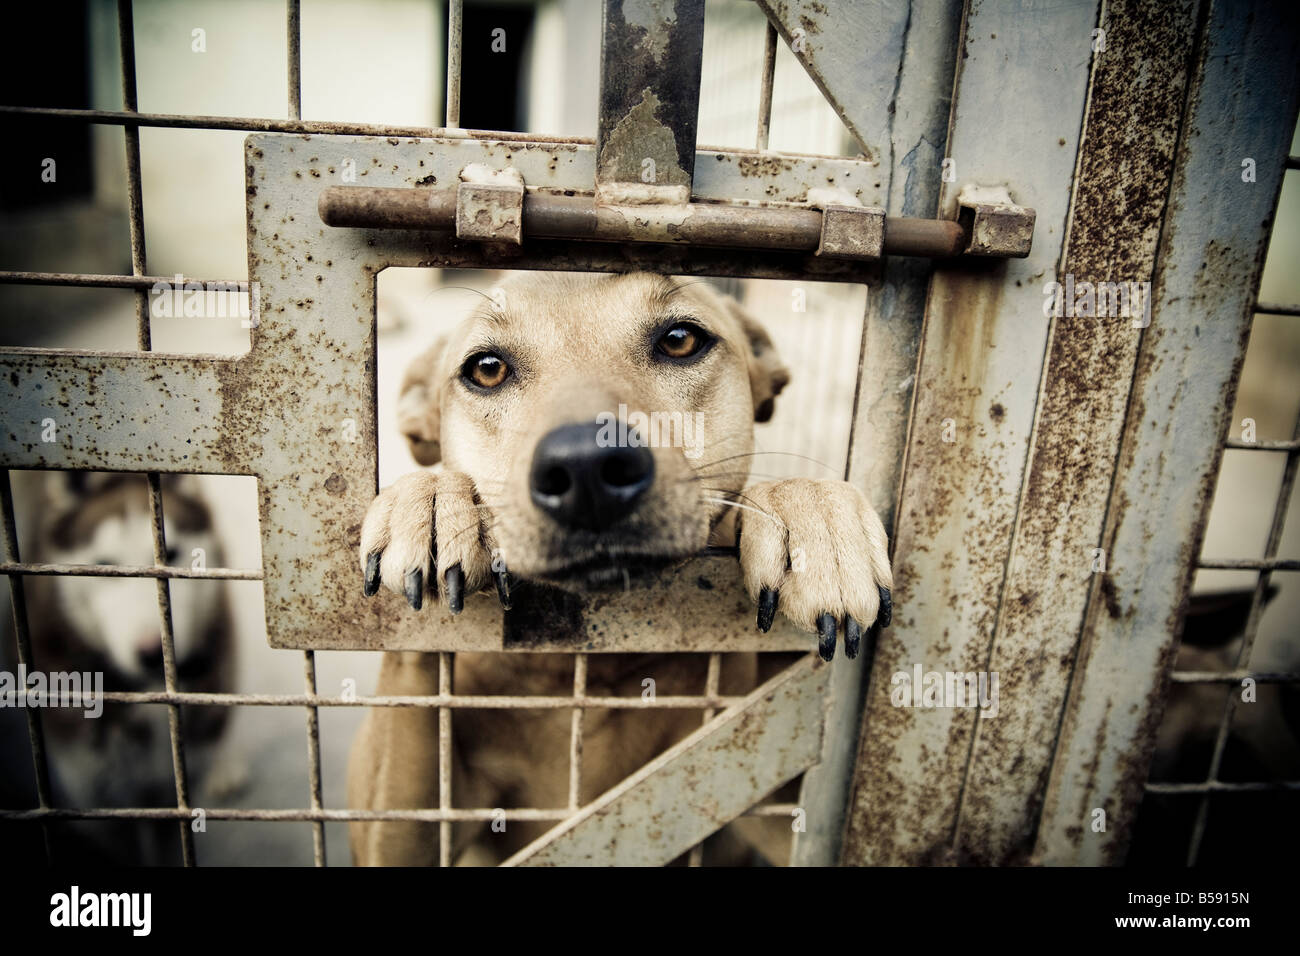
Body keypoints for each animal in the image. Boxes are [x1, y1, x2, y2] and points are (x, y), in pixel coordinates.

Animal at [348, 270, 894, 868]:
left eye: (680, 340)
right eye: (486, 369)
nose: (586, 466)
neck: (598, 670)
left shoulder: (768, 786)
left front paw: (812, 515)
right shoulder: (404, 823)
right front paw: (432, 500)